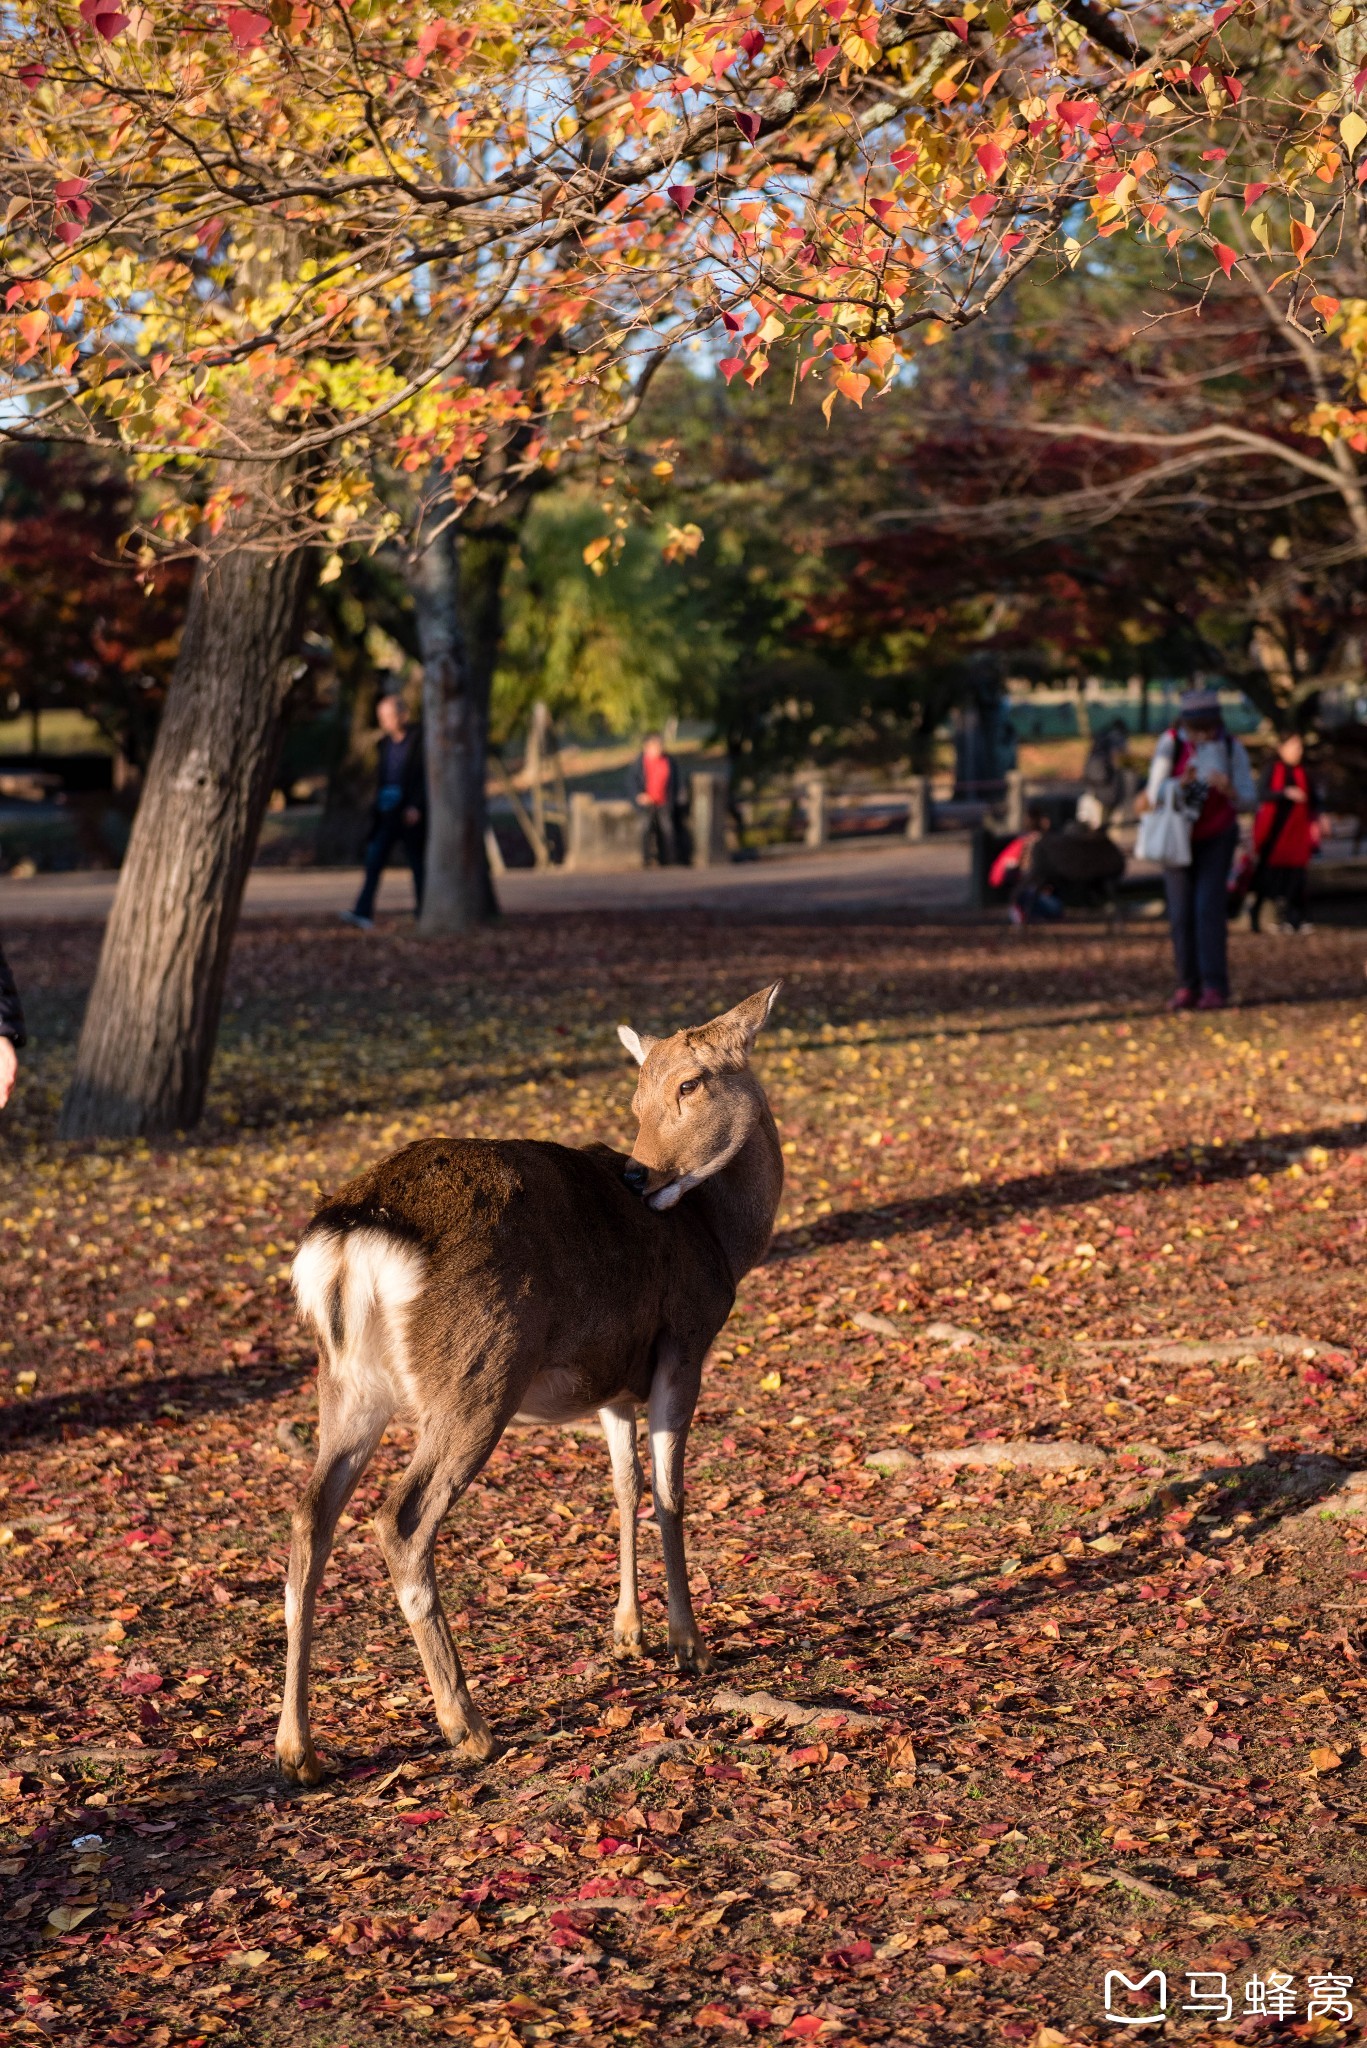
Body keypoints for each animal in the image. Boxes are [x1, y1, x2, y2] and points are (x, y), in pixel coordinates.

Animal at [276, 974, 786, 1777]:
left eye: (688, 1082)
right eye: (640, 1094)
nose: (638, 1174)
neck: (720, 1240)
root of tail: (352, 1235)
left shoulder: (610, 1383)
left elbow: (623, 1486)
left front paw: (627, 1632)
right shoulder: (684, 1341)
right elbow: (670, 1493)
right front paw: (689, 1645)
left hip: (349, 1381)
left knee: (308, 1515)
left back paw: (297, 1747)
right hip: (478, 1370)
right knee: (400, 1519)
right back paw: (468, 1725)